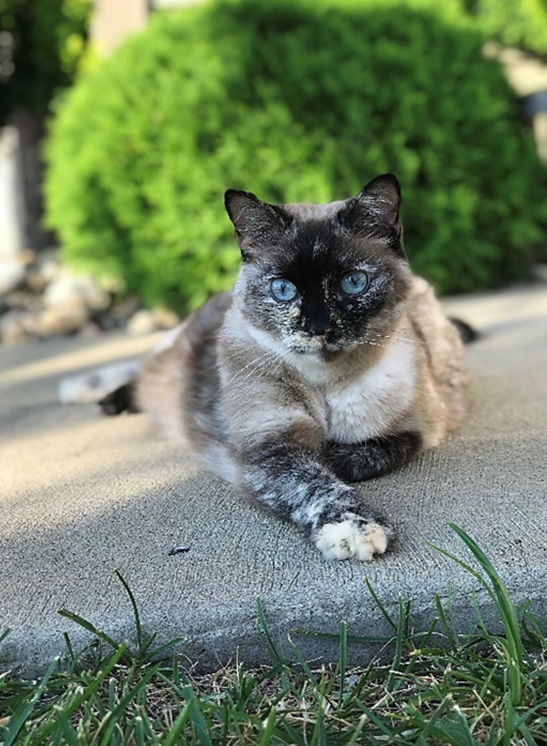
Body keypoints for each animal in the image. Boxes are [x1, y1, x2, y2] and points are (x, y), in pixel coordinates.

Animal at [79, 174, 474, 560]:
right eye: (283, 290)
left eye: (353, 283)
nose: (318, 328)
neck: (325, 387)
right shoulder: (271, 447)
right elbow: (312, 483)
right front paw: (354, 529)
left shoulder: (421, 428)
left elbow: (364, 453)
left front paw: (333, 460)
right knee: (138, 379)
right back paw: (105, 402)